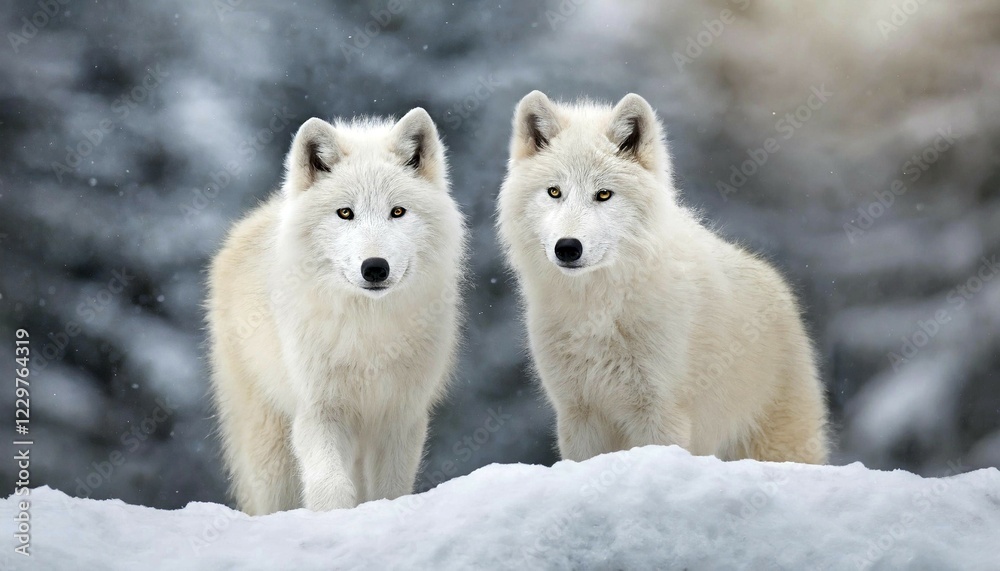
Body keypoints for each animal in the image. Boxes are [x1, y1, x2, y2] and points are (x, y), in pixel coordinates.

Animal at [207, 109, 466, 514]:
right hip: (271, 446)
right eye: (346, 213)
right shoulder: (320, 413)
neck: (370, 333)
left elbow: (390, 490)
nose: (374, 268)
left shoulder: (400, 416)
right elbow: (331, 486)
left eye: (397, 212)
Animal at [498, 91, 829, 464]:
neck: (599, 308)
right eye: (554, 192)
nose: (567, 247)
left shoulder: (660, 413)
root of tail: (780, 289)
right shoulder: (579, 414)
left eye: (603, 194)